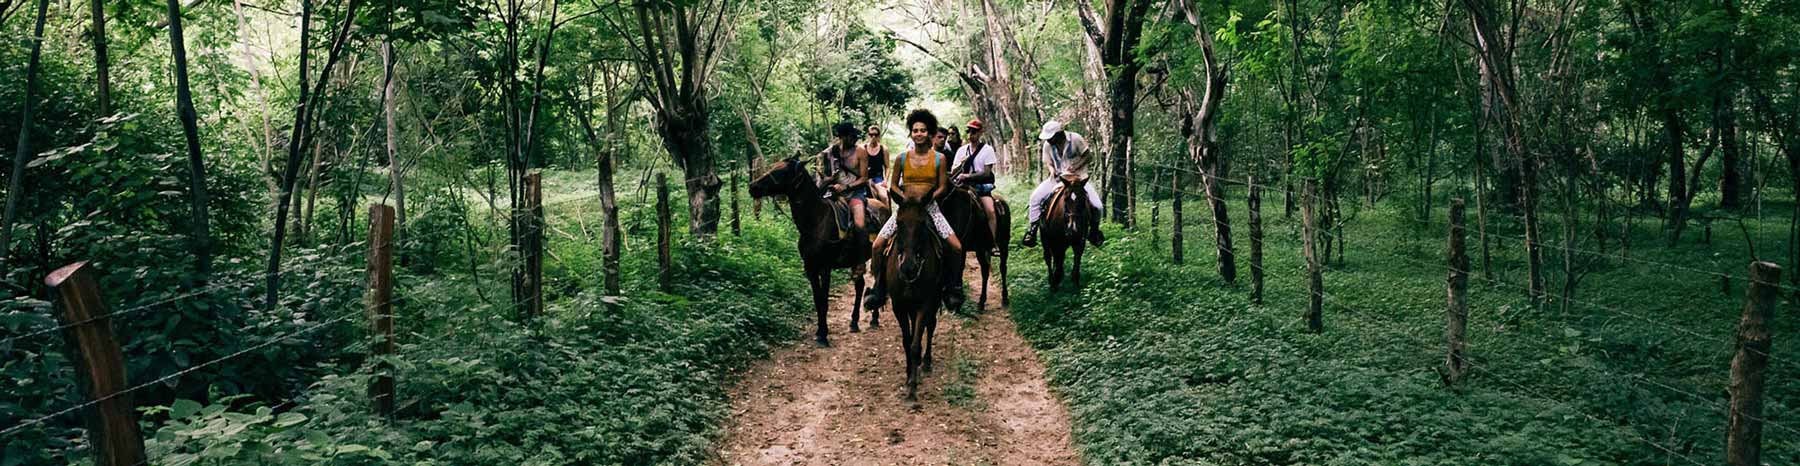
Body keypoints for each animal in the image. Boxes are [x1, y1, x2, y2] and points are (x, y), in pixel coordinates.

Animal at [748, 159, 889, 345]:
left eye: (781, 171)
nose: (752, 186)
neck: (816, 221)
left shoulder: (825, 267)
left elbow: (824, 300)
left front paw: (823, 335)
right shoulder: (810, 267)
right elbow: (817, 300)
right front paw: (819, 331)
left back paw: (874, 319)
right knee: (860, 286)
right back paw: (854, 322)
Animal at [878, 186, 950, 401]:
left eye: (922, 223)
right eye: (899, 222)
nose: (908, 267)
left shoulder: (925, 304)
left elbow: (915, 344)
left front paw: (912, 387)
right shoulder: (899, 306)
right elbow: (906, 341)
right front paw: (909, 374)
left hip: (933, 300)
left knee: (931, 326)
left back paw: (925, 363)